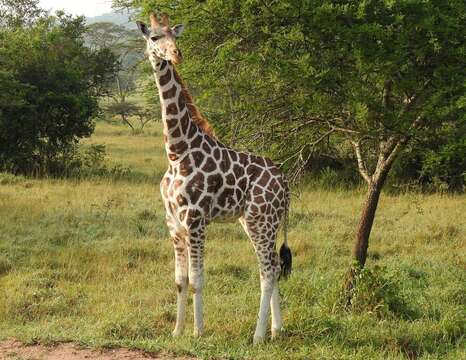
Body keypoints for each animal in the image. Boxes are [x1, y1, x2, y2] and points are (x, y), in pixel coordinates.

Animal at [137, 12, 294, 344]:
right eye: (154, 37)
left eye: (175, 35)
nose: (176, 54)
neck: (176, 151)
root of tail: (286, 183)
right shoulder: (173, 222)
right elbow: (180, 280)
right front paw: (176, 331)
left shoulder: (195, 218)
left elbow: (197, 279)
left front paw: (198, 332)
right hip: (257, 221)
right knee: (274, 266)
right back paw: (277, 329)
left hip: (261, 220)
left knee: (266, 271)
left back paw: (258, 336)